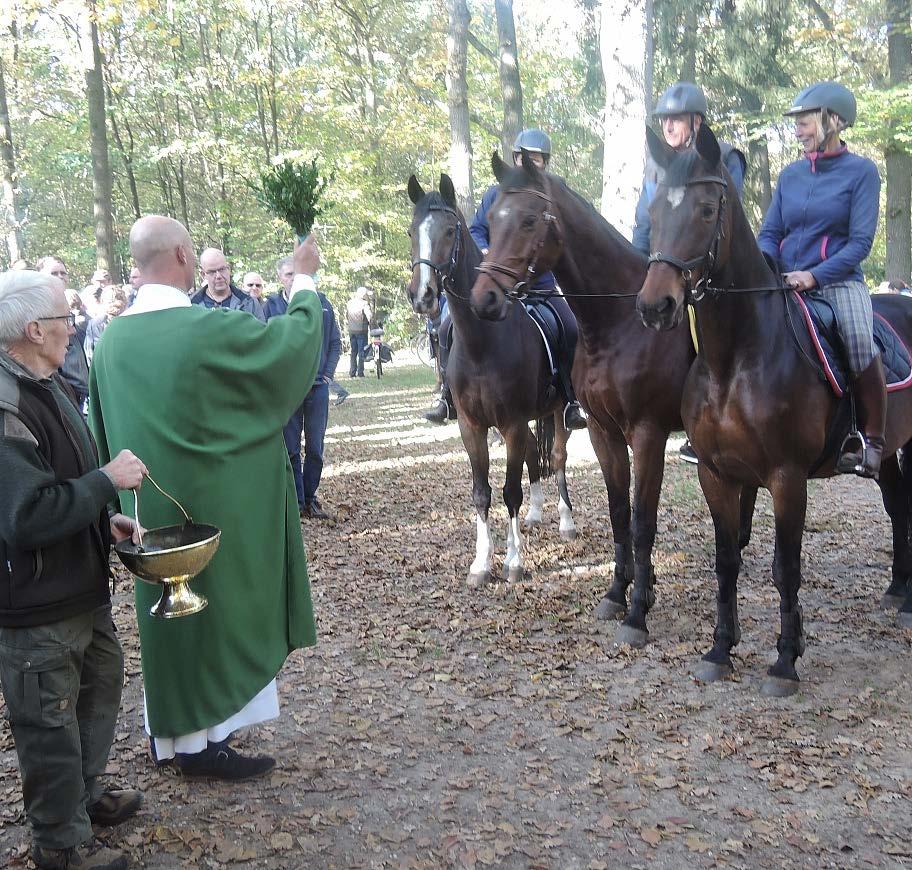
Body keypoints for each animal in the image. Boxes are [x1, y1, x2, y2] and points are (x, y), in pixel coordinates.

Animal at [408, 175, 576, 588]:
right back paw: (536, 514)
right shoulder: (472, 426)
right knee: (534, 453)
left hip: (559, 411)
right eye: (411, 231)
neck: (483, 343)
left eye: (450, 231)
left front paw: (513, 562)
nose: (423, 296)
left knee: (558, 457)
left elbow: (510, 491)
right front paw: (481, 563)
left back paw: (566, 521)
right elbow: (482, 493)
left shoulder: (511, 423)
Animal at [466, 152, 760, 648]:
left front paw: (638, 611)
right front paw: (619, 592)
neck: (619, 325)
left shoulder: (647, 435)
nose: (484, 298)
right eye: (491, 219)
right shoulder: (604, 433)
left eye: (528, 220)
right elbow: (619, 513)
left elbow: (642, 522)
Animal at [636, 121, 912, 696]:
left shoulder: (787, 477)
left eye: (705, 210)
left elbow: (786, 568)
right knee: (899, 507)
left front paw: (785, 661)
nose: (655, 306)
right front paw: (720, 649)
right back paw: (898, 592)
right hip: (889, 456)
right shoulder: (717, 474)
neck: (735, 360)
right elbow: (726, 561)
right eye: (653, 211)